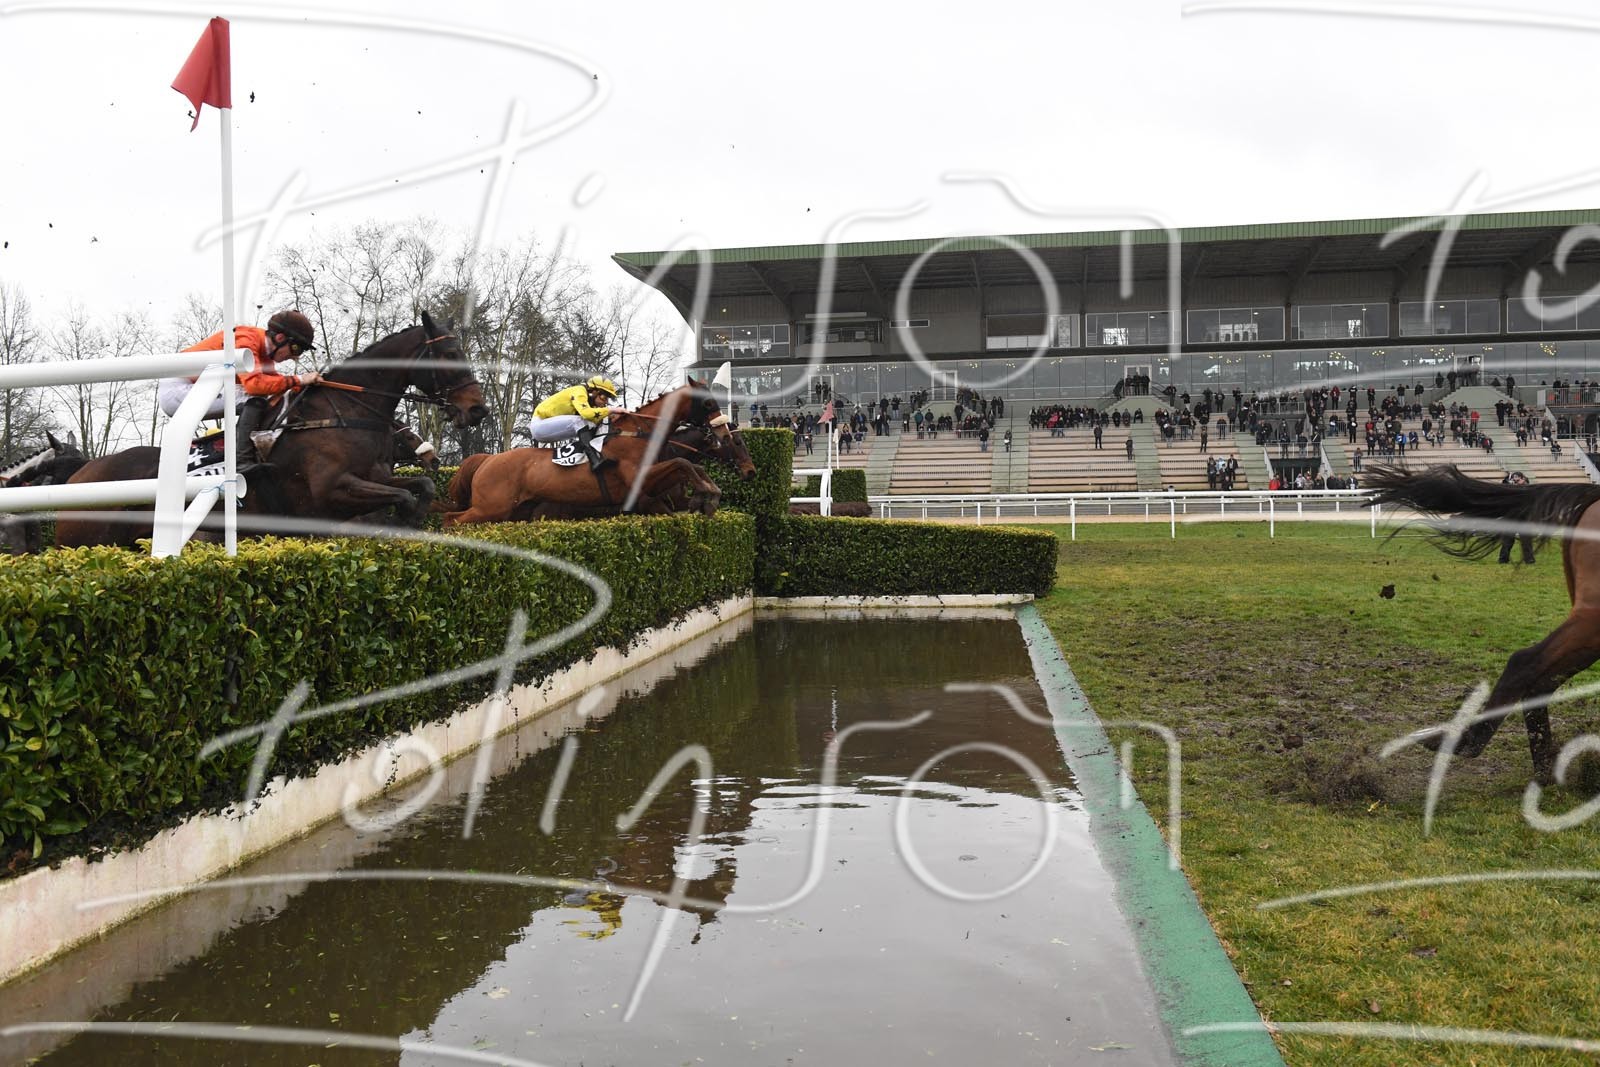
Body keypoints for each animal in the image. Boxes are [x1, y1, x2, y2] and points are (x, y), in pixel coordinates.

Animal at [54, 311, 487, 549]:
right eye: (450, 354)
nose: (478, 409)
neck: (344, 412)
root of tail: (79, 476)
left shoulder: (376, 476)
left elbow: (420, 487)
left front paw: (414, 521)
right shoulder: (330, 491)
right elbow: (402, 497)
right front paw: (403, 523)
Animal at [442, 377, 745, 527]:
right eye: (708, 403)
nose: (723, 433)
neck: (638, 433)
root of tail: (487, 460)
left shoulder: (650, 492)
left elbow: (693, 466)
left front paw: (709, 496)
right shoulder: (641, 482)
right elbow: (683, 462)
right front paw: (707, 497)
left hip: (513, 511)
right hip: (490, 507)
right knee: (451, 520)